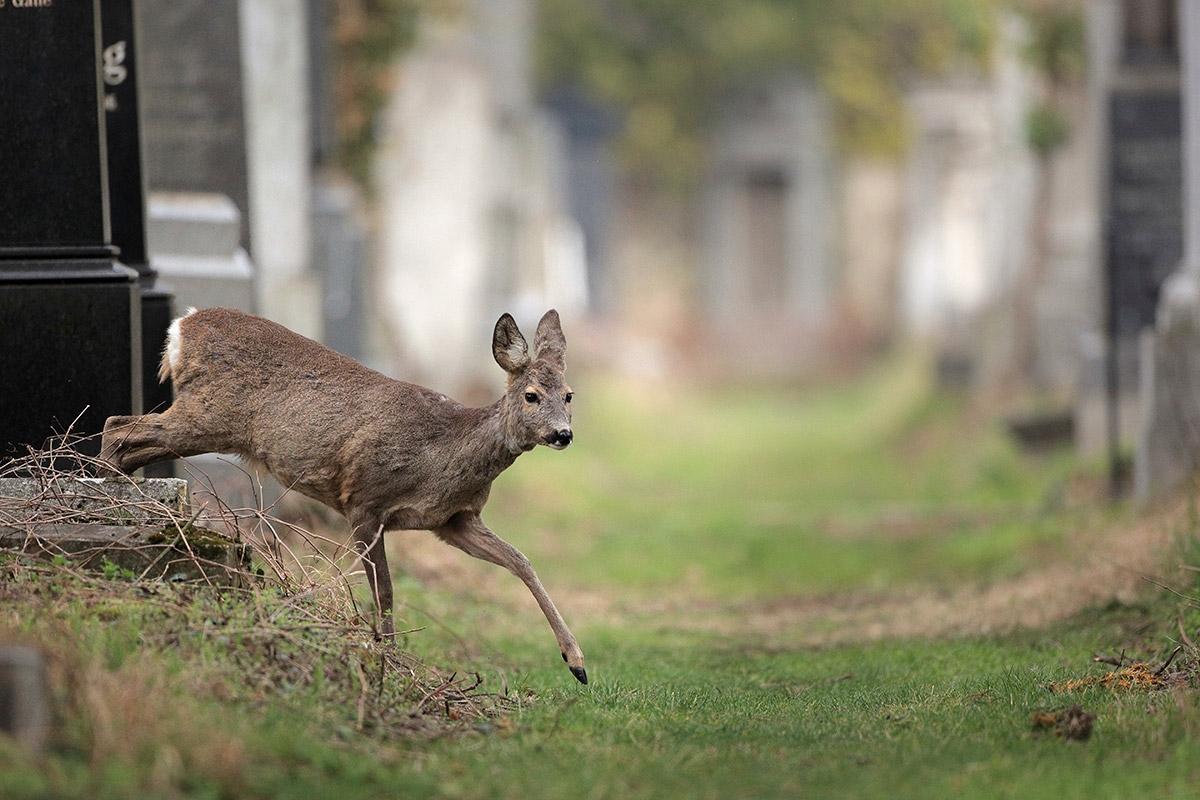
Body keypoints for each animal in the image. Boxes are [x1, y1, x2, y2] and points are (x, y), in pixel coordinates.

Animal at [100, 309, 588, 686]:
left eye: (568, 395)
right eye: (531, 395)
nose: (563, 434)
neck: (442, 455)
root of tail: (182, 327)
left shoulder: (454, 521)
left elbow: (521, 561)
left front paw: (576, 663)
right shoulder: (364, 501)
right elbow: (385, 590)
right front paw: (392, 664)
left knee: (125, 436)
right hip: (206, 415)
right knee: (116, 425)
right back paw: (105, 501)